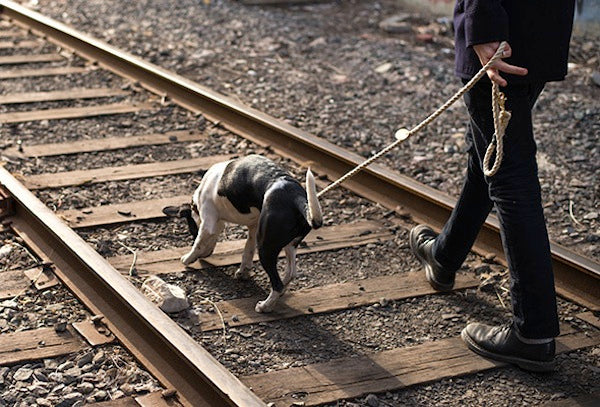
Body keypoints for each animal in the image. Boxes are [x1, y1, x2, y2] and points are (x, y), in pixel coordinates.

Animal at [163, 155, 324, 314]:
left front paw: (188, 258)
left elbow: (198, 243)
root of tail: (296, 197)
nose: (205, 255)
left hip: (266, 248)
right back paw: (280, 291)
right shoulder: (254, 227)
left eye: (192, 231)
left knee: (277, 284)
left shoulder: (208, 224)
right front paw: (243, 271)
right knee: (290, 273)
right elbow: (248, 249)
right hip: (289, 245)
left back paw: (265, 306)